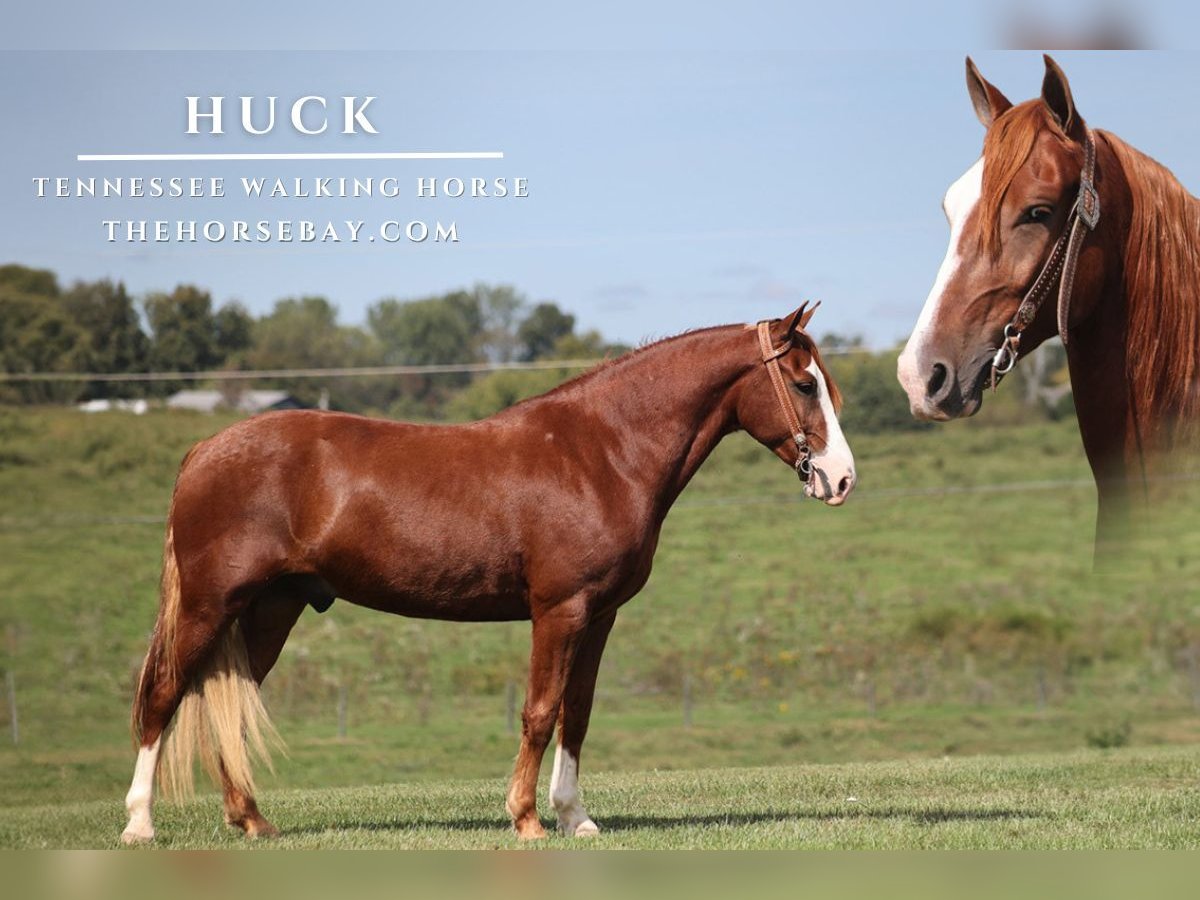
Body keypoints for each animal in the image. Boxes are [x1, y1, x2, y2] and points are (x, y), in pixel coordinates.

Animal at [119, 307, 854, 849]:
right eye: (803, 383)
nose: (840, 479)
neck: (601, 452)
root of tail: (204, 450)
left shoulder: (600, 615)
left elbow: (578, 712)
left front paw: (576, 817)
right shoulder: (559, 610)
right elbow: (539, 711)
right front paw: (526, 820)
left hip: (273, 608)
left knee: (228, 703)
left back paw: (251, 820)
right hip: (210, 605)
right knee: (161, 694)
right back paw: (139, 824)